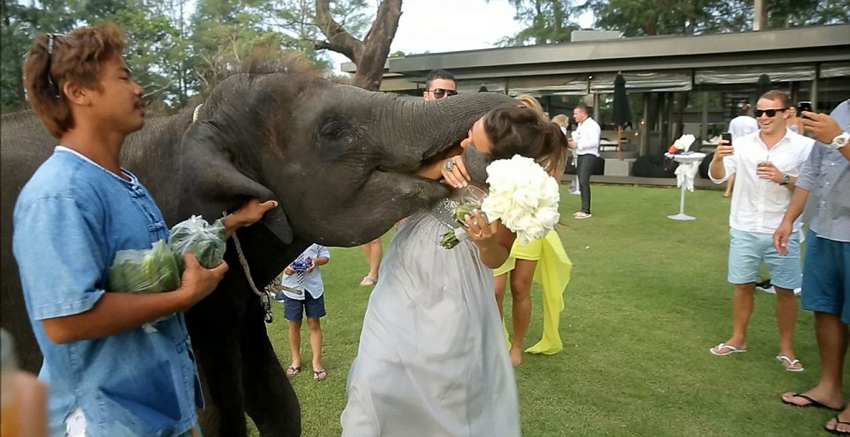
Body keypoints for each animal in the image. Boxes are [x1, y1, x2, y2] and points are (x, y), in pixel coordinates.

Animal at [1, 58, 510, 436]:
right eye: (332, 131)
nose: (514, 110)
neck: (189, 123)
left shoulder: (237, 305)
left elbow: (280, 405)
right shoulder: (199, 314)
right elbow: (218, 416)